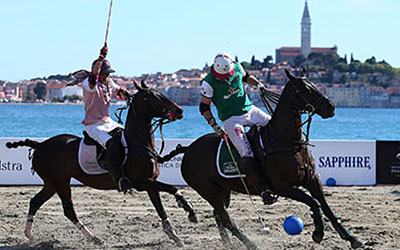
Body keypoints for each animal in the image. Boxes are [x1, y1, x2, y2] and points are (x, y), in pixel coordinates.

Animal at [6, 80, 197, 246]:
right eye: (149, 97)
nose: (179, 111)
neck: (138, 143)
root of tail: (39, 145)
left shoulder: (150, 183)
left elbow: (161, 209)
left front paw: (175, 236)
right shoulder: (142, 183)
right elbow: (172, 188)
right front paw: (189, 210)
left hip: (52, 183)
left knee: (35, 202)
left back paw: (31, 235)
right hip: (59, 182)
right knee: (68, 210)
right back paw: (93, 238)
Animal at [159, 69, 362, 250]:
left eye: (314, 84)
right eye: (304, 89)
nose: (331, 107)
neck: (288, 142)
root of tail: (188, 149)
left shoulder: (312, 179)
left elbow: (326, 206)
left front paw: (352, 238)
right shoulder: (284, 187)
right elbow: (314, 202)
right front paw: (318, 233)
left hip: (223, 189)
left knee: (219, 215)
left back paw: (229, 244)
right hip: (208, 190)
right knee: (226, 218)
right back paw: (250, 244)